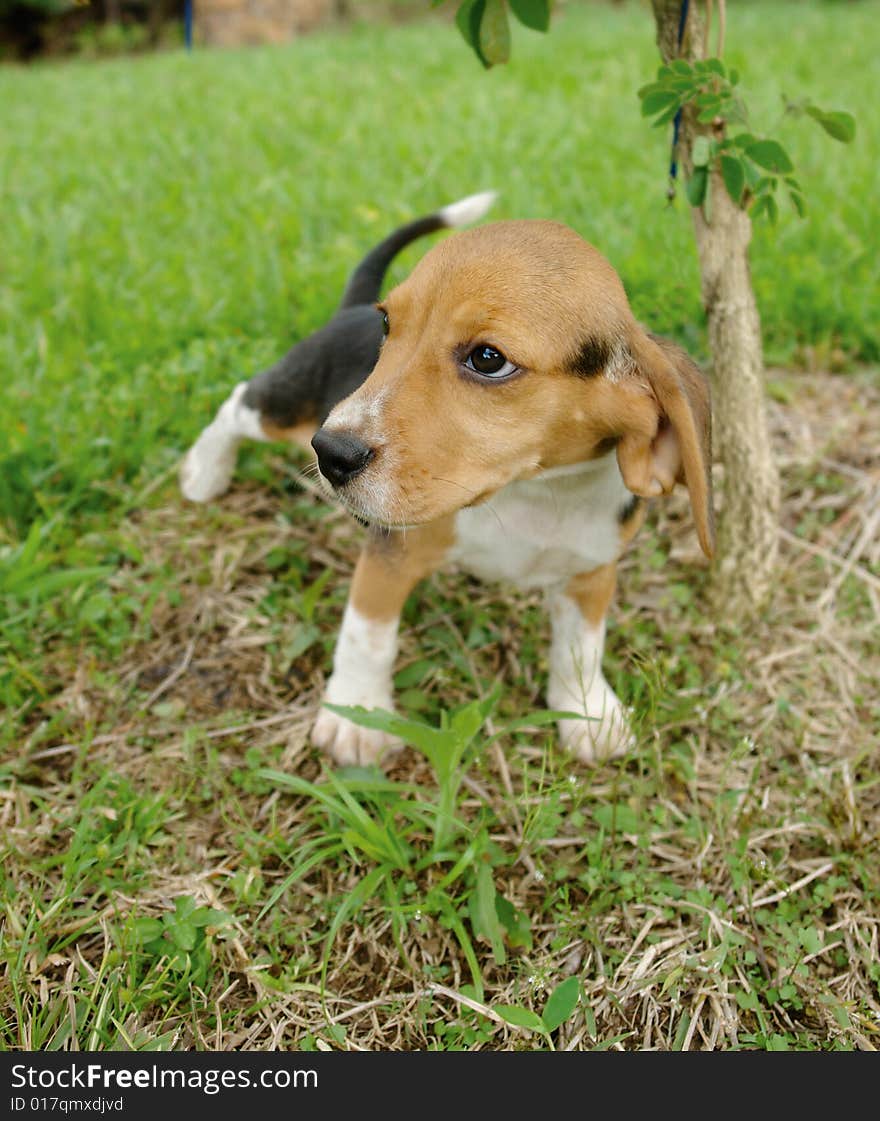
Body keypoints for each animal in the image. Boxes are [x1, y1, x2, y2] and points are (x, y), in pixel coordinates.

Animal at [181, 204, 708, 771]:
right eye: (388, 324)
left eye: (488, 358)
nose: (332, 453)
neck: (532, 492)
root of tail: (350, 310)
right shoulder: (392, 554)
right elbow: (367, 634)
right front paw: (355, 714)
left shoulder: (591, 571)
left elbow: (581, 648)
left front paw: (588, 712)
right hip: (288, 404)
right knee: (238, 404)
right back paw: (205, 472)